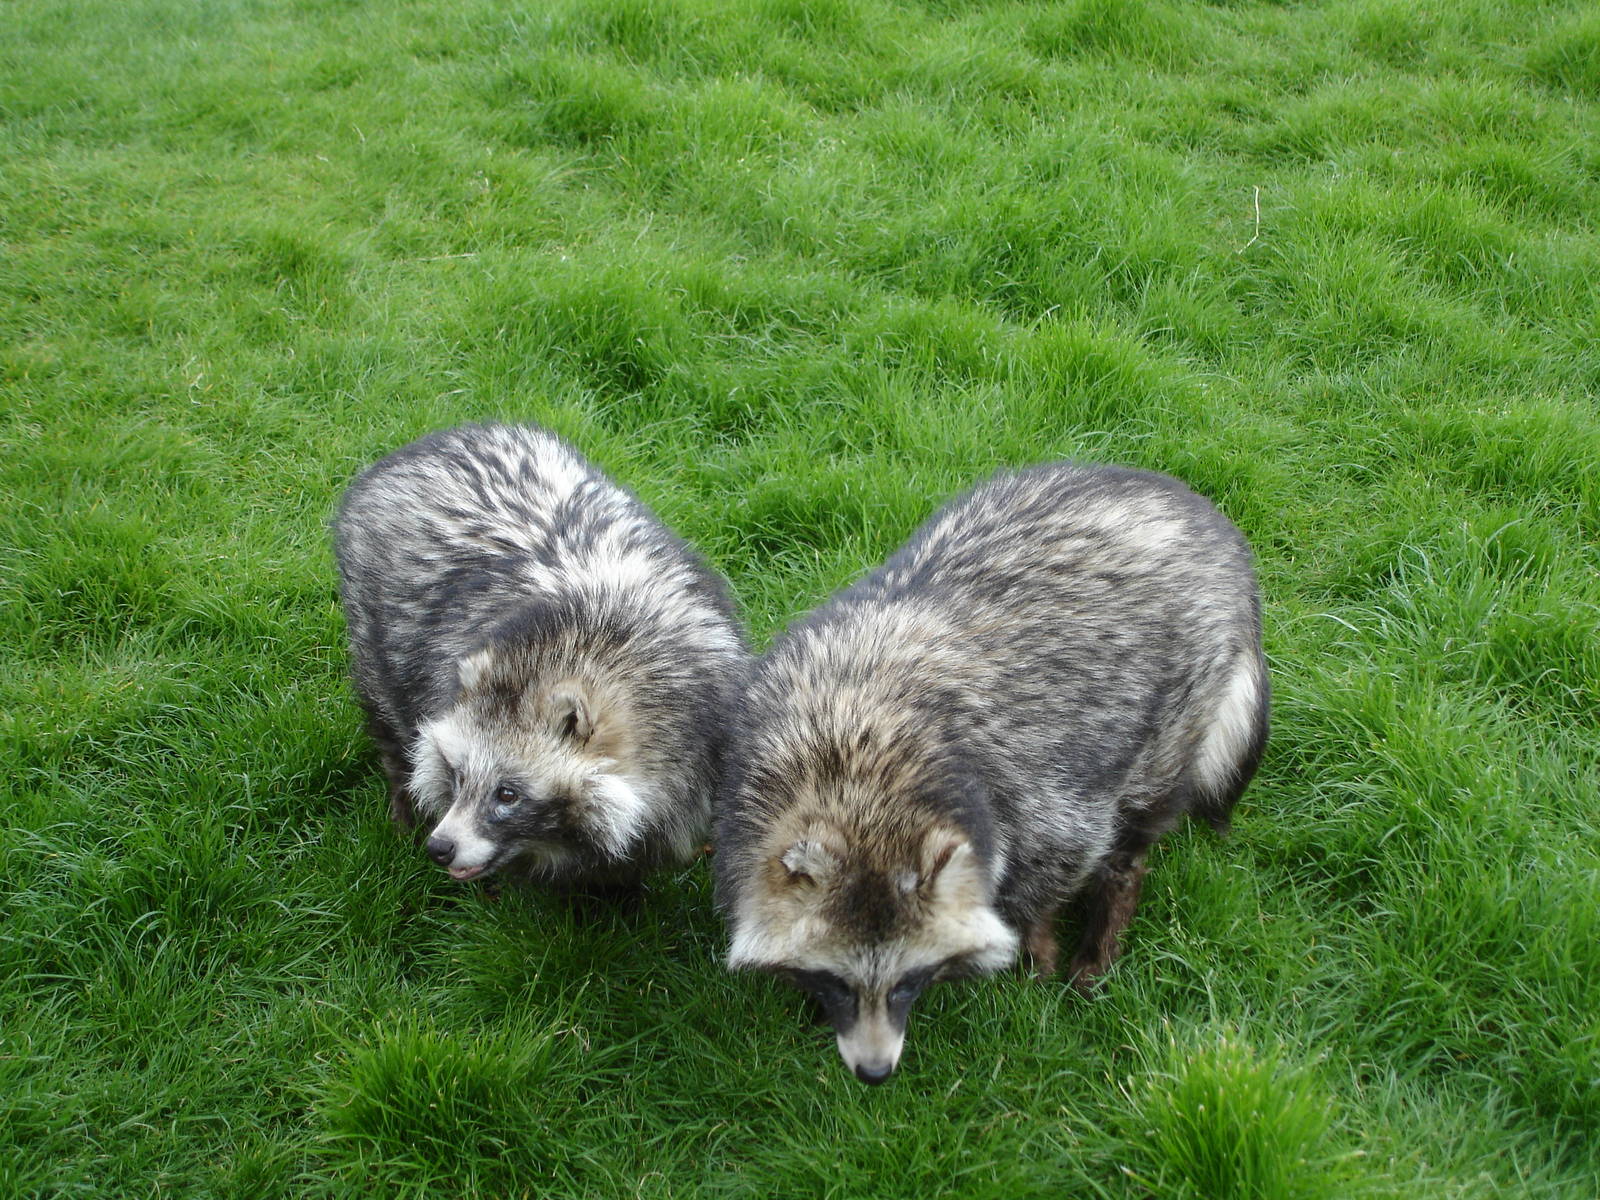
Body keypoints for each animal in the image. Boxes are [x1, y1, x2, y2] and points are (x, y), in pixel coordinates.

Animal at [333, 422, 748, 887]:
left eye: (508, 794)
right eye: (459, 776)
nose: (440, 848)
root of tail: (428, 443)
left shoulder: (700, 743)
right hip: (370, 624)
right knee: (387, 715)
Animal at [714, 463, 1267, 1083]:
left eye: (908, 981)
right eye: (838, 983)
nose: (875, 1072)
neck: (855, 772)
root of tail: (1206, 518)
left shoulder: (1034, 787)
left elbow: (1054, 864)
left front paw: (1035, 945)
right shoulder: (749, 741)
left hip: (1180, 694)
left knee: (1135, 823)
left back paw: (1107, 920)